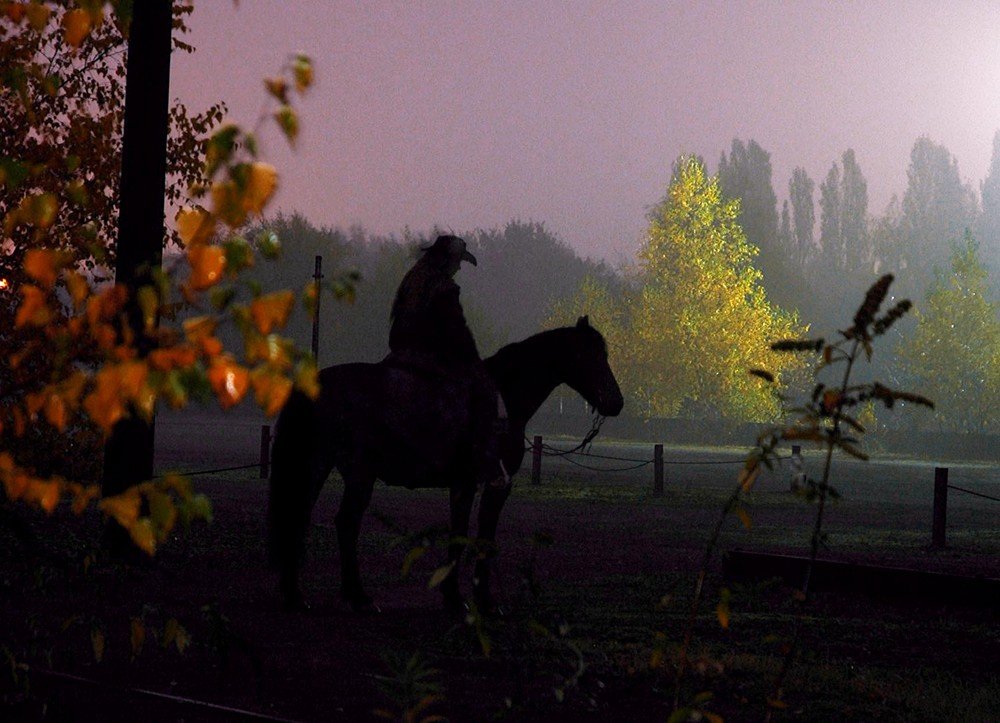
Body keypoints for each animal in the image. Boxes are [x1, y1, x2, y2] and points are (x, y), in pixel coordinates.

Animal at [270, 316, 620, 612]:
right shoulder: (493, 485)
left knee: (300, 516)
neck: (501, 399)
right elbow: (479, 537)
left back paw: (296, 595)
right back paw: (357, 597)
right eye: (590, 356)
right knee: (344, 522)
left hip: (320, 465)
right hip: (355, 473)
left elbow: (462, 534)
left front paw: (457, 596)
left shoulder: (467, 484)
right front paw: (478, 599)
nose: (616, 402)